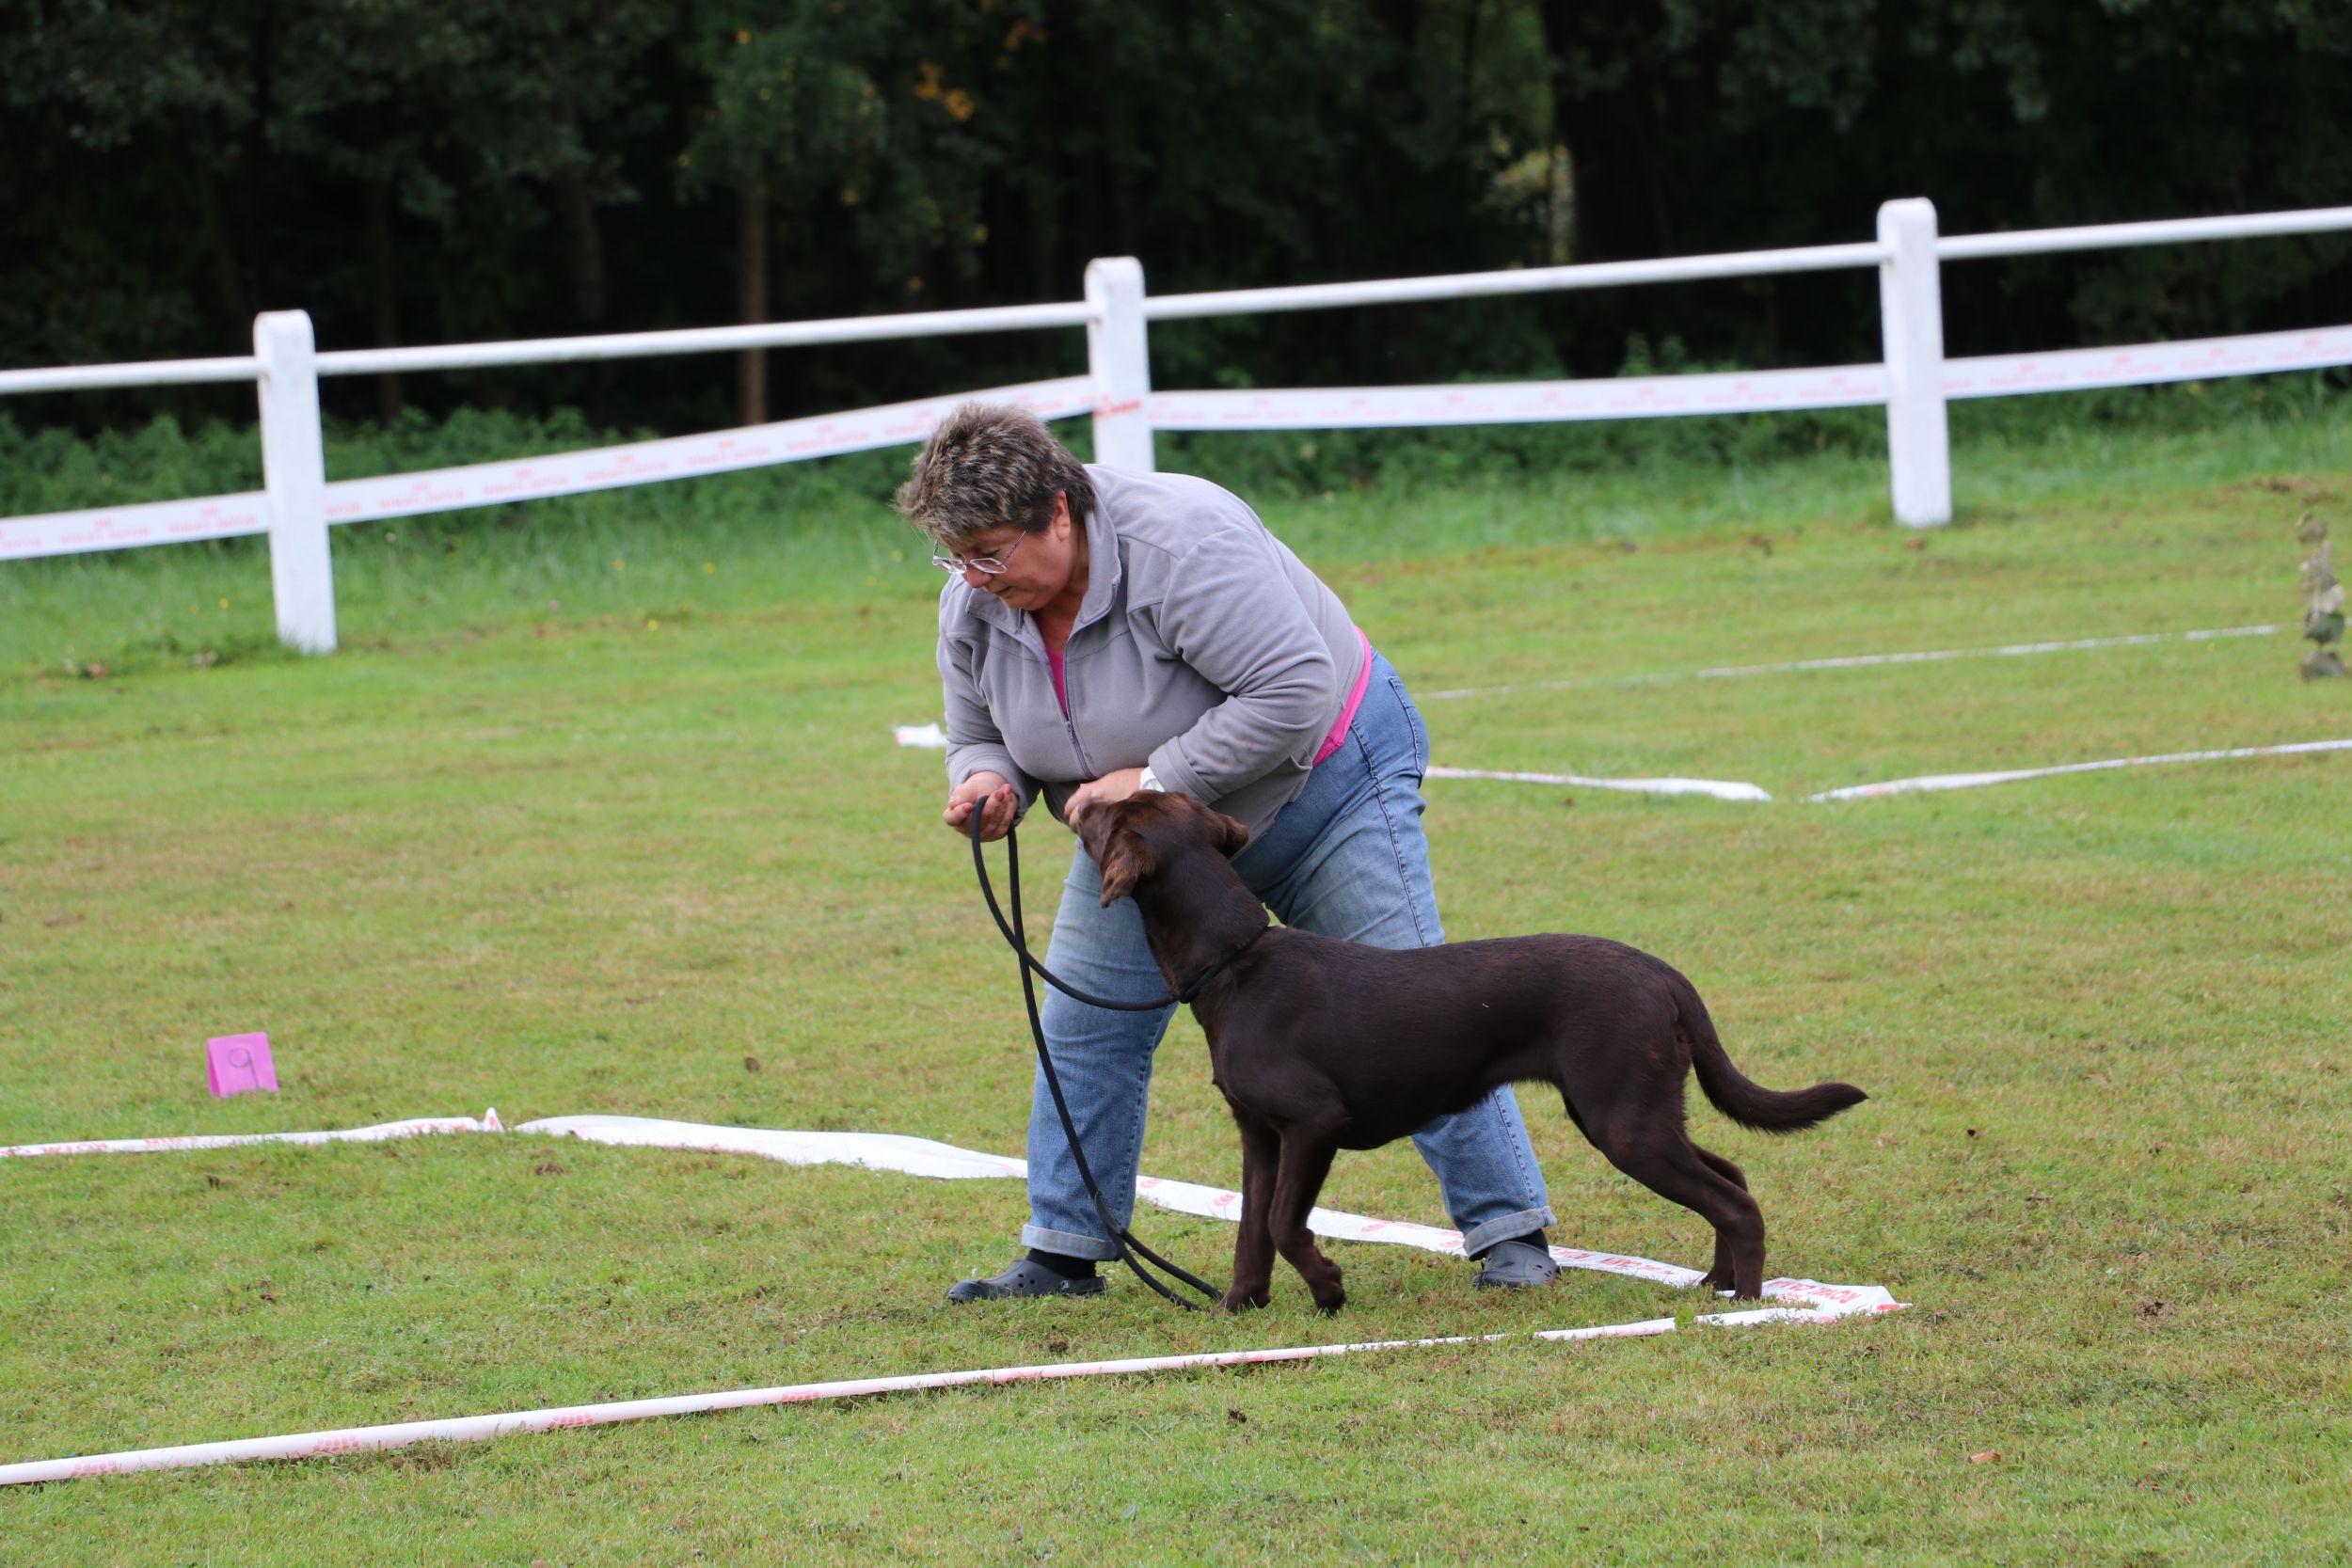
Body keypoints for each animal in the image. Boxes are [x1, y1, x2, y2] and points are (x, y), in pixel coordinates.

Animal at [1072, 791, 1866, 1312]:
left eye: (1110, 815)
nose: (1080, 801)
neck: (1235, 962)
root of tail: (1664, 972)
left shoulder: (1314, 1124)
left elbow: (1283, 1225)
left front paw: (1328, 1288)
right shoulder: (1260, 1135)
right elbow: (1251, 1230)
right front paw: (1238, 1305)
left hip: (1624, 1120)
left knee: (1736, 1200)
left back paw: (1748, 1302)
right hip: (1632, 1110)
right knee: (1731, 1173)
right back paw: (1714, 1282)